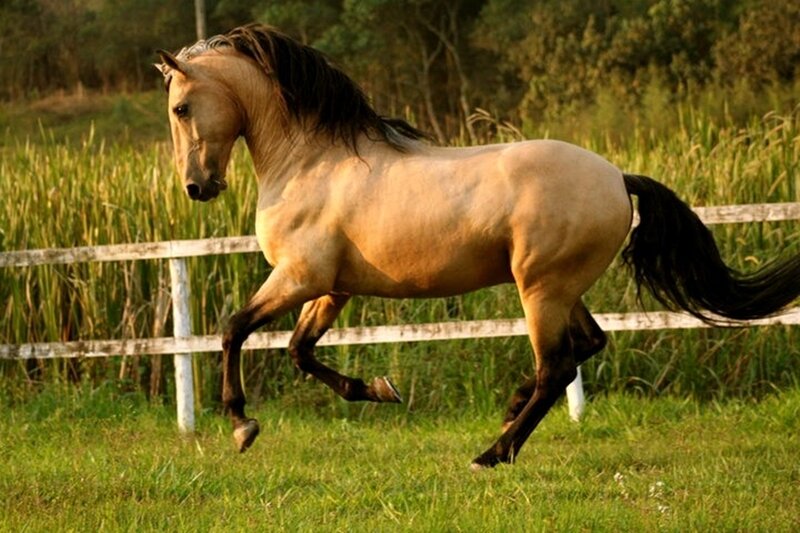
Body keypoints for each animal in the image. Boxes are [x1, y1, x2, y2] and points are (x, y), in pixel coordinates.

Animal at [156, 23, 800, 469]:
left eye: (181, 108)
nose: (197, 188)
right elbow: (299, 351)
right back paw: (508, 414)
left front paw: (242, 425)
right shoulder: (332, 288)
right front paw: (380, 390)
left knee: (556, 367)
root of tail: (618, 178)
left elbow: (234, 329)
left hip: (541, 288)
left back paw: (492, 454)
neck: (312, 159)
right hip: (561, 288)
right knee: (586, 347)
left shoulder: (299, 276)